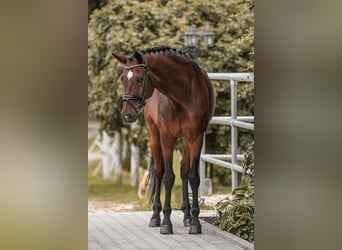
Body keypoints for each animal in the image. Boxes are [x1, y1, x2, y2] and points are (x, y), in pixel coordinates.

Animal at [111, 45, 214, 234]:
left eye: (139, 79)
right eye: (122, 79)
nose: (127, 115)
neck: (183, 94)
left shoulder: (196, 136)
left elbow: (193, 177)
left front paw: (195, 222)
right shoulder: (167, 137)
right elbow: (167, 177)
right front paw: (166, 221)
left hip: (186, 140)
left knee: (184, 171)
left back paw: (187, 216)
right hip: (154, 135)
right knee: (159, 172)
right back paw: (155, 216)